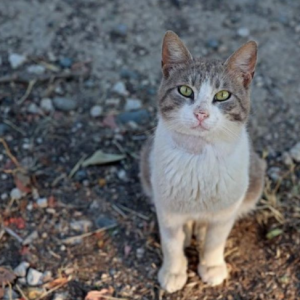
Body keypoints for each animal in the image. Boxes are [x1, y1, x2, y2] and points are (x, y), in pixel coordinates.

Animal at [139, 31, 266, 292]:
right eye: (185, 90)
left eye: (223, 95)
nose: (201, 113)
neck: (199, 154)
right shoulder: (166, 208)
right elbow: (171, 243)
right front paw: (173, 271)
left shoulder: (227, 209)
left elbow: (215, 241)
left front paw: (212, 266)